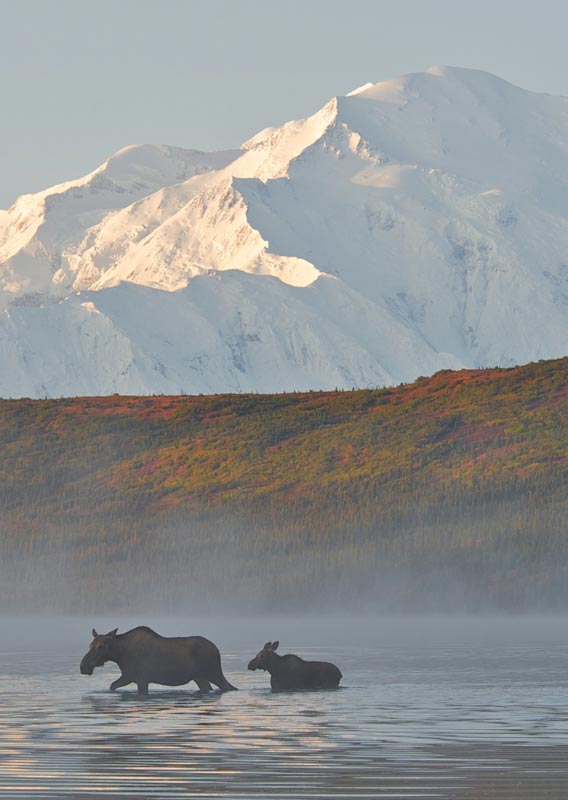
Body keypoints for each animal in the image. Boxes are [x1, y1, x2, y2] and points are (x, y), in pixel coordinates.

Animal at [80, 624, 237, 692]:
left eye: (100, 646)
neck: (120, 656)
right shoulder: (129, 676)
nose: (83, 666)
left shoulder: (141, 679)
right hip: (200, 678)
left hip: (214, 674)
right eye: (90, 644)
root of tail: (217, 650)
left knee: (229, 687)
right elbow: (112, 686)